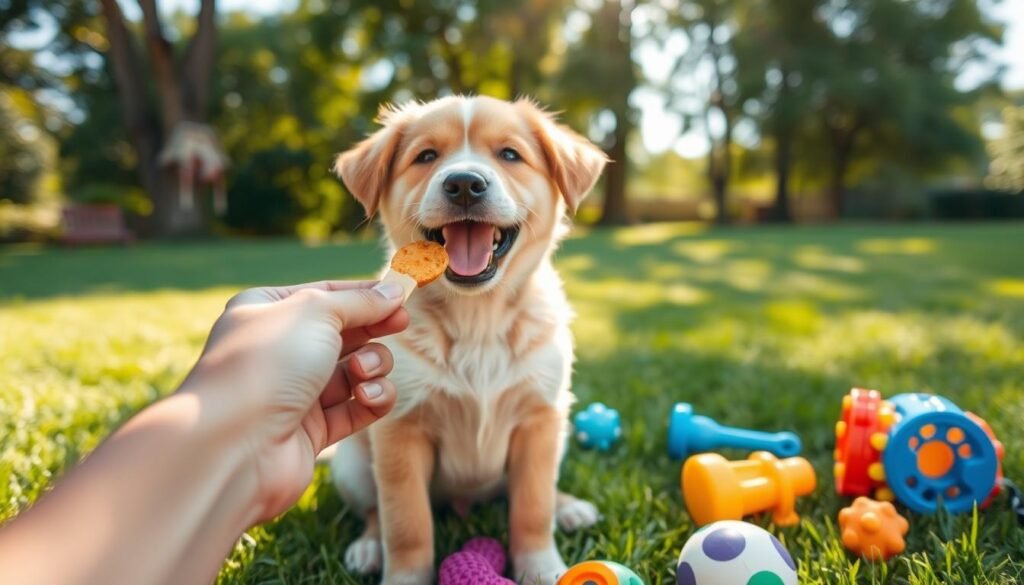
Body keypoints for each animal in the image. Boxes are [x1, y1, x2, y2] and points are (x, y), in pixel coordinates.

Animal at [331, 97, 610, 585]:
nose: (464, 184)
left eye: (510, 154)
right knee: (373, 511)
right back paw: (367, 547)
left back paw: (570, 507)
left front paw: (541, 566)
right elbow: (405, 524)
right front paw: (405, 576)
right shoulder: (399, 430)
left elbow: (533, 506)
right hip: (349, 464)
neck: (477, 317)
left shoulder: (539, 419)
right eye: (426, 156)